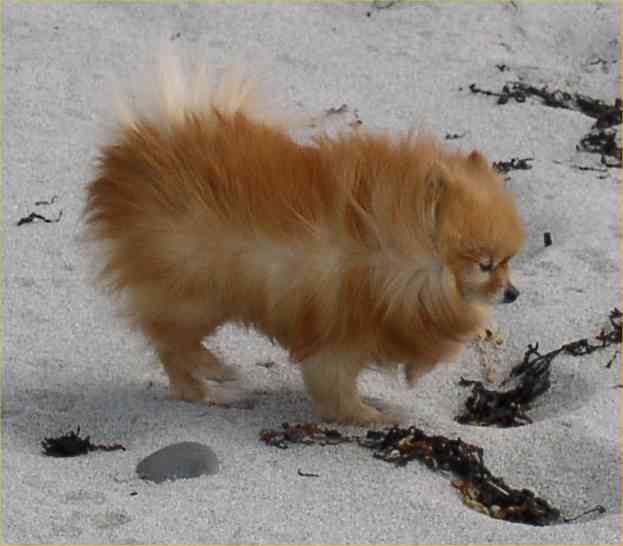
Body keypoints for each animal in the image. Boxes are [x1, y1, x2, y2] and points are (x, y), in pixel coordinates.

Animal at [85, 49, 528, 422]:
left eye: (508, 263)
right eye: (486, 265)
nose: (513, 293)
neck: (400, 251)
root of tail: (137, 153)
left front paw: (412, 374)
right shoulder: (344, 336)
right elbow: (337, 387)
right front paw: (371, 416)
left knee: (170, 349)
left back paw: (204, 386)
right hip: (196, 294)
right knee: (169, 339)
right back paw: (217, 375)